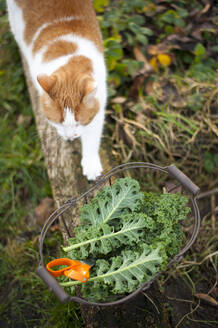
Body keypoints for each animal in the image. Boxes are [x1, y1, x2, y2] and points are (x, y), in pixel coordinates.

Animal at [7, 0, 107, 181]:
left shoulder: (99, 102)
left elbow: (92, 134)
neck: (71, 56)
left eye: (79, 123)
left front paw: (90, 164)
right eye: (58, 121)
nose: (70, 137)